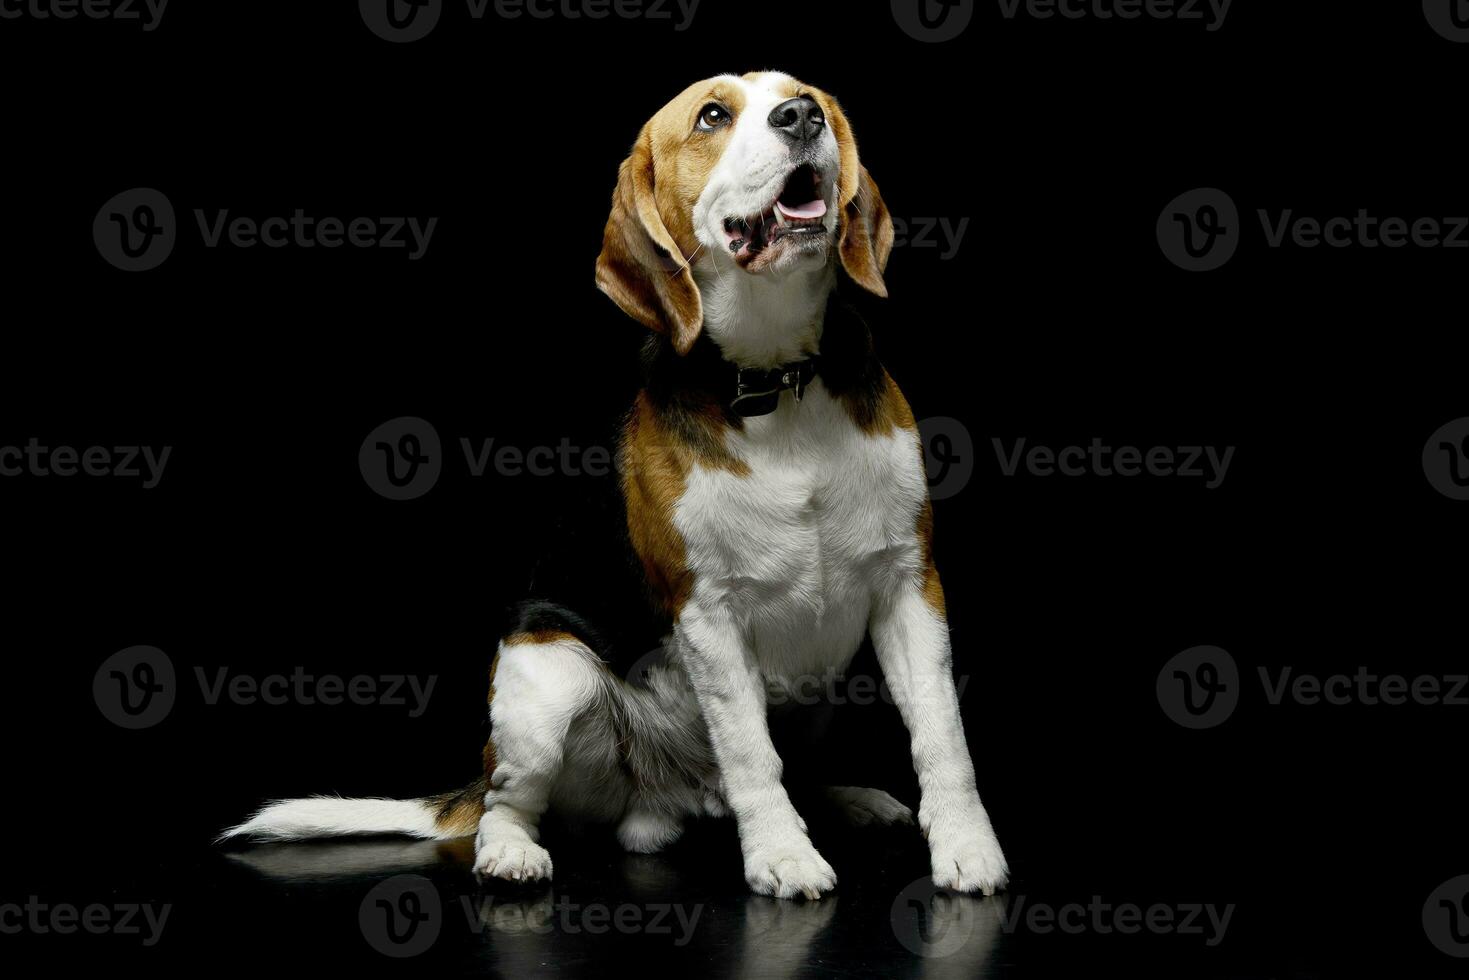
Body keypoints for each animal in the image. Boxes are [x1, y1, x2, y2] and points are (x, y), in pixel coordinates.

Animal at [226, 70, 1010, 905]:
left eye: (808, 97)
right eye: (712, 116)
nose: (800, 118)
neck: (775, 383)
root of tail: (673, 797)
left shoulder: (910, 584)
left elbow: (941, 736)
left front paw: (965, 846)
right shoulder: (708, 613)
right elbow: (750, 755)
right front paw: (780, 854)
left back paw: (847, 800)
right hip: (545, 683)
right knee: (509, 803)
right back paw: (512, 852)